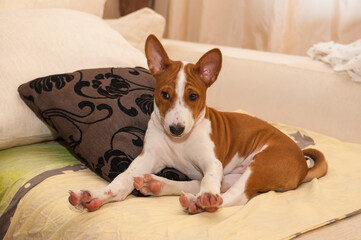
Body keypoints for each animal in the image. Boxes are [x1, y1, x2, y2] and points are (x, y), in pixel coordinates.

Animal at [69, 34, 328, 215]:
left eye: (193, 96)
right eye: (165, 94)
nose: (176, 129)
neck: (181, 142)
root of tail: (302, 163)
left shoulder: (212, 161)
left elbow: (210, 180)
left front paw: (207, 198)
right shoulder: (149, 157)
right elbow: (122, 179)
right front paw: (97, 195)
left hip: (261, 165)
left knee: (233, 196)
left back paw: (199, 203)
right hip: (235, 174)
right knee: (202, 185)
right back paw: (158, 185)